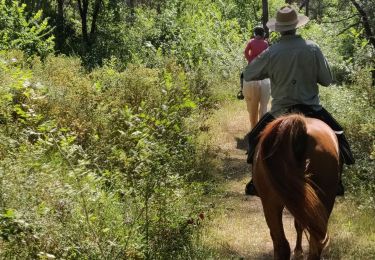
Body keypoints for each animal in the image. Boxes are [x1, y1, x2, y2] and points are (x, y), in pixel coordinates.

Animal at [254, 114, 342, 260]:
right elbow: (299, 224)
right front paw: (298, 252)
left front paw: (298, 251)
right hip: (323, 201)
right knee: (314, 244)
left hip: (270, 203)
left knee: (281, 244)